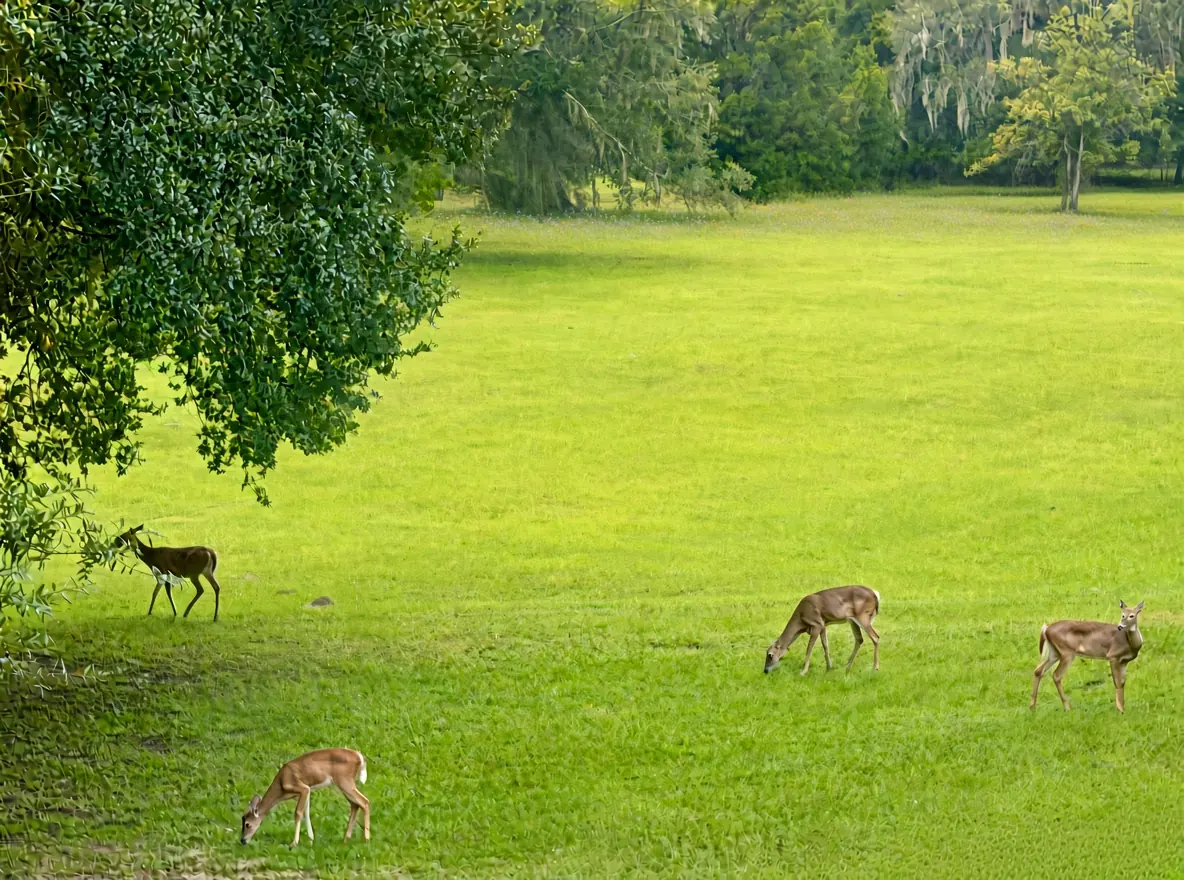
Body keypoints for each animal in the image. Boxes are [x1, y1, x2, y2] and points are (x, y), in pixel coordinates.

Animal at [240, 748, 370, 847]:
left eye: (247, 824)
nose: (242, 840)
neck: (281, 786)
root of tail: (360, 757)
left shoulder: (302, 788)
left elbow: (298, 813)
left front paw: (294, 843)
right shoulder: (305, 791)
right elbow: (306, 812)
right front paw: (311, 838)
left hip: (344, 781)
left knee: (364, 801)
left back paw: (366, 838)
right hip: (344, 784)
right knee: (355, 804)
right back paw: (345, 839)